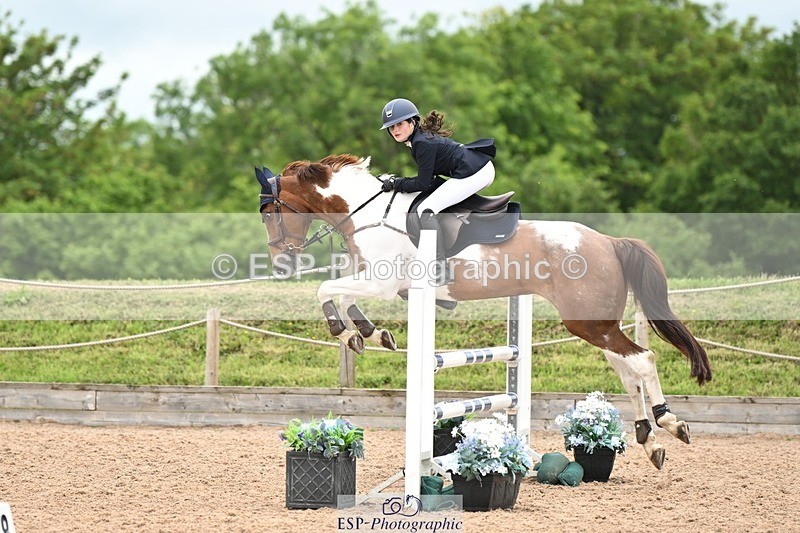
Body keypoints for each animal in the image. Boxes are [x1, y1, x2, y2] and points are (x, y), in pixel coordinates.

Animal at [256, 153, 713, 470]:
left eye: (269, 213)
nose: (281, 264)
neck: (368, 214)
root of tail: (610, 242)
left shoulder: (381, 282)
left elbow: (325, 288)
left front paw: (345, 331)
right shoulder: (379, 281)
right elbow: (344, 296)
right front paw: (367, 333)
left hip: (588, 323)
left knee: (643, 359)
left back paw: (670, 424)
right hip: (596, 325)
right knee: (627, 369)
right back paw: (649, 440)